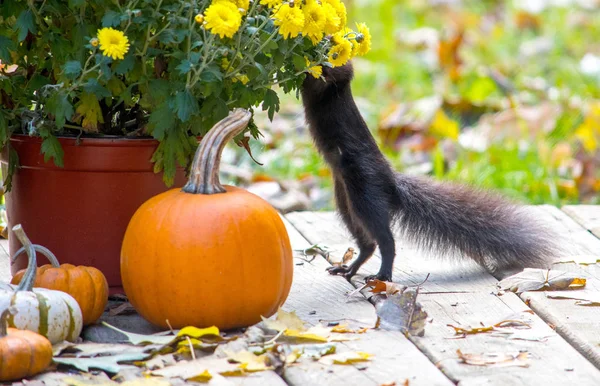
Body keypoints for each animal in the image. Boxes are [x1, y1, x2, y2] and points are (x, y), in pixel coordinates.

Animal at [302, 61, 560, 282]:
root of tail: (390, 181)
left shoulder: (338, 79)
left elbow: (336, 72)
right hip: (345, 200)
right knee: (368, 243)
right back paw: (347, 269)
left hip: (365, 192)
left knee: (386, 241)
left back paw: (382, 275)